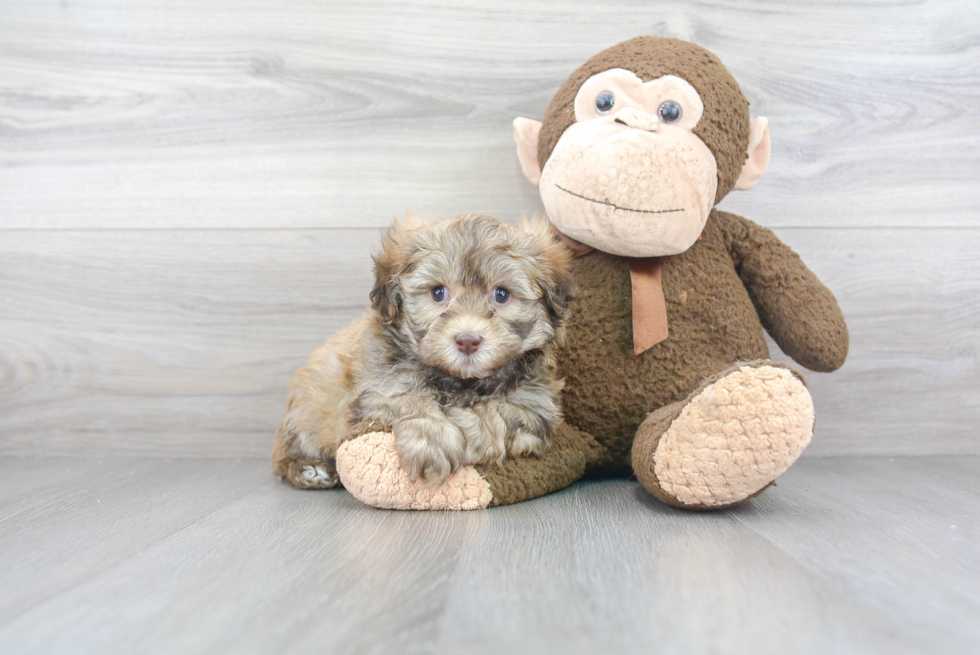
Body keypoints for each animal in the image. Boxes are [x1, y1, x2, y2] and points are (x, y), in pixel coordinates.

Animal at [270, 217, 576, 492]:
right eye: (438, 292)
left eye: (501, 294)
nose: (467, 340)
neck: (460, 381)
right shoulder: (379, 386)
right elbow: (408, 398)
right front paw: (432, 440)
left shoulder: (535, 405)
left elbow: (497, 413)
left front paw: (464, 427)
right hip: (307, 412)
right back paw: (311, 470)